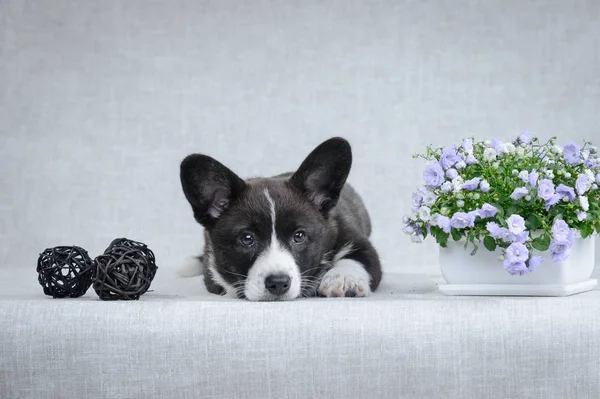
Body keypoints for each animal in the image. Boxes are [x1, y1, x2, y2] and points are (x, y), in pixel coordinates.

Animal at [180, 137, 382, 300]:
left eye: (299, 236)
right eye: (247, 238)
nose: (278, 283)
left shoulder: (352, 236)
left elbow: (357, 258)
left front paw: (343, 279)